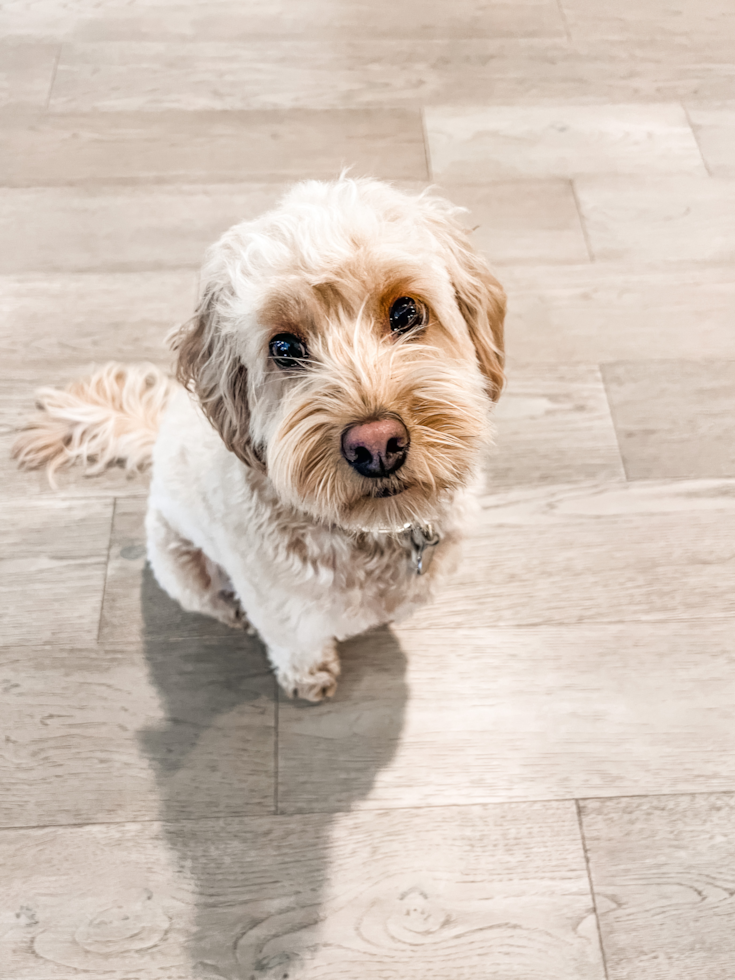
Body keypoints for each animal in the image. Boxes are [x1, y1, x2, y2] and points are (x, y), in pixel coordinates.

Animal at [14, 174, 506, 696]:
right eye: (284, 347)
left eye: (407, 311)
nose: (376, 444)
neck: (369, 536)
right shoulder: (285, 617)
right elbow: (297, 648)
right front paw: (309, 680)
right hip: (178, 564)